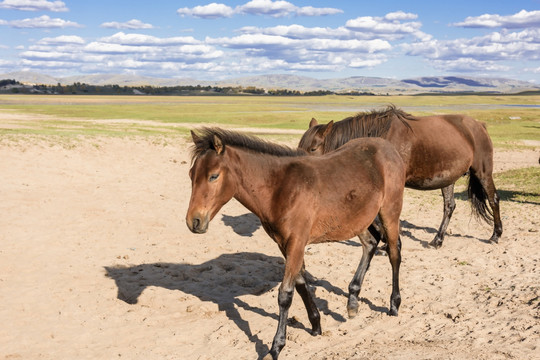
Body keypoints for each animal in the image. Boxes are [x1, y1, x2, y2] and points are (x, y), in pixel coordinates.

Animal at [186, 129, 404, 360]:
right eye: (191, 175)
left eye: (214, 176)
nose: (194, 221)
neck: (279, 188)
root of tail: (389, 148)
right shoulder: (285, 245)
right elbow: (300, 284)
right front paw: (316, 325)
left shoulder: (296, 243)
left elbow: (285, 294)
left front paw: (276, 347)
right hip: (357, 218)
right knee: (370, 243)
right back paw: (352, 301)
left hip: (389, 211)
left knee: (393, 252)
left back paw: (394, 304)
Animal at [298, 105, 504, 249]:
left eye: (313, 148)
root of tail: (478, 125)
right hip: (448, 178)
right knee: (449, 207)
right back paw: (437, 240)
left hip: (483, 172)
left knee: (493, 198)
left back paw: (495, 235)